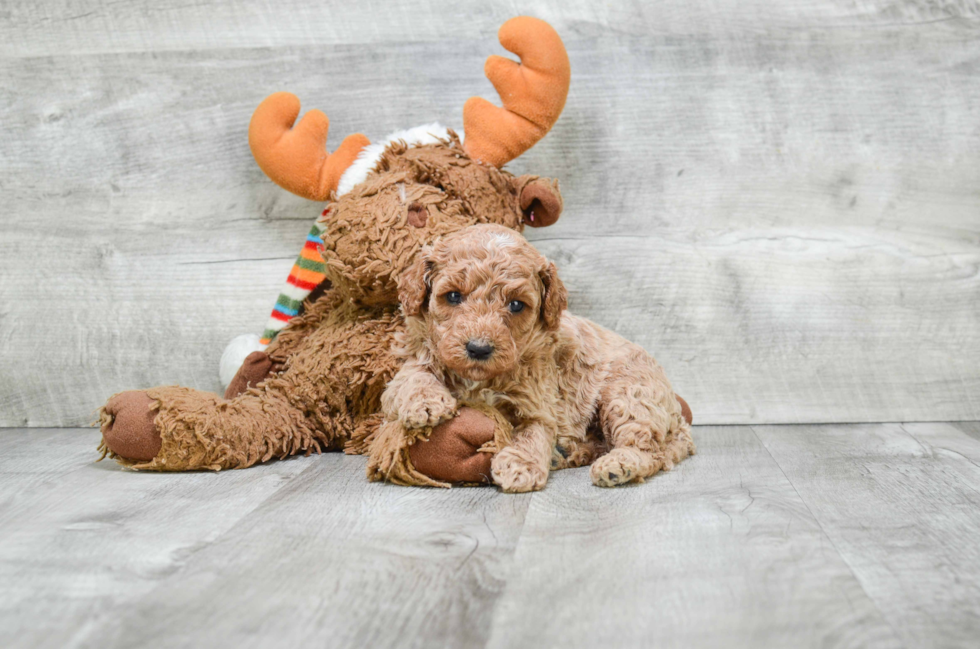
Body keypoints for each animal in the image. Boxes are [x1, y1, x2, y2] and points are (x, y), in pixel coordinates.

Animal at [382, 224, 696, 492]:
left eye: (516, 304)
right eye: (453, 296)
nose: (479, 349)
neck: (481, 379)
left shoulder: (539, 405)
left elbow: (532, 433)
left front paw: (519, 467)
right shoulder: (415, 357)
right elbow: (411, 377)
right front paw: (425, 403)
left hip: (629, 395)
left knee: (648, 447)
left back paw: (619, 464)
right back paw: (571, 453)